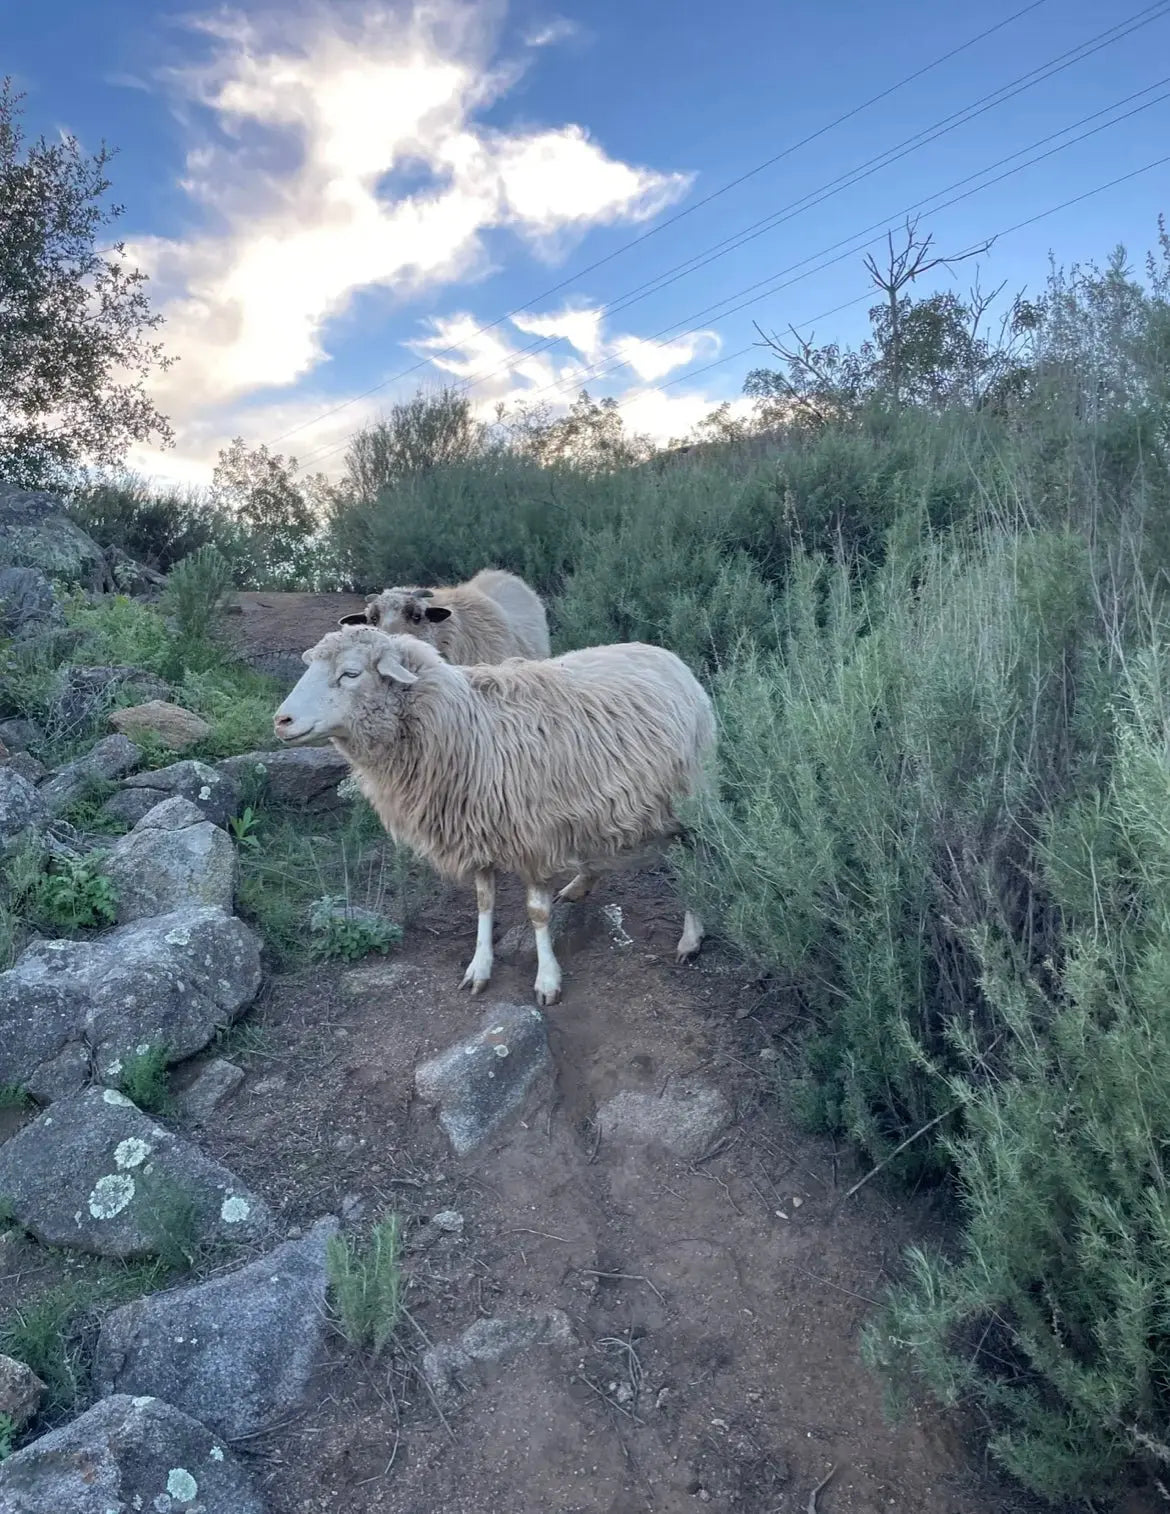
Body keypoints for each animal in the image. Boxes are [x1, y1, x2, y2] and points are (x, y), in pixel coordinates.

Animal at [273, 625, 715, 1006]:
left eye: (350, 673)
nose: (281, 721)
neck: (463, 725)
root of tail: (663, 654)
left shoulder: (533, 835)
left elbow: (537, 913)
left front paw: (547, 979)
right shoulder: (476, 830)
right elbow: (484, 902)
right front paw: (479, 967)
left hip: (692, 794)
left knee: (694, 859)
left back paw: (690, 937)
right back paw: (580, 884)